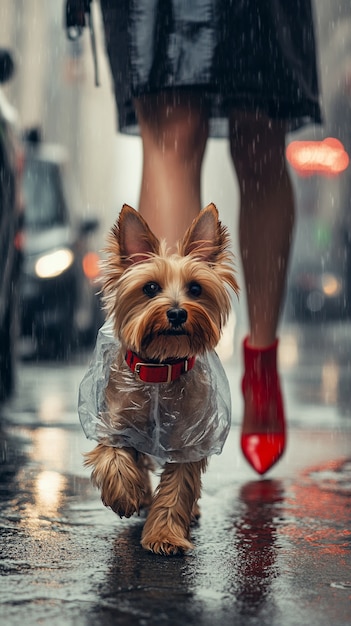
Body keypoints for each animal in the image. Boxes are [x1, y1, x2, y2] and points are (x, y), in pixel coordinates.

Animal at [84, 202, 241, 552]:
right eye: (150, 288)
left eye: (195, 288)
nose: (178, 312)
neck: (159, 370)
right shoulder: (116, 425)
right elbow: (115, 460)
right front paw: (126, 496)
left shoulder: (189, 440)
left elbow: (177, 490)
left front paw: (165, 536)